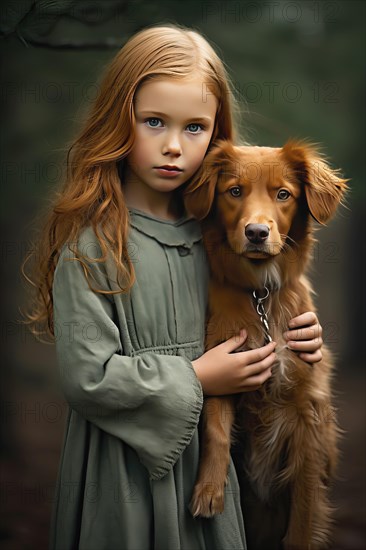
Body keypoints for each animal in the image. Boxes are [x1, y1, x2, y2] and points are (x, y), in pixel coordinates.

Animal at [183, 140, 348, 548]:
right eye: (234, 191)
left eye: (283, 194)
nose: (256, 232)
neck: (261, 294)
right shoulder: (225, 363)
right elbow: (216, 429)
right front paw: (209, 491)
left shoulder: (307, 412)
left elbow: (304, 508)